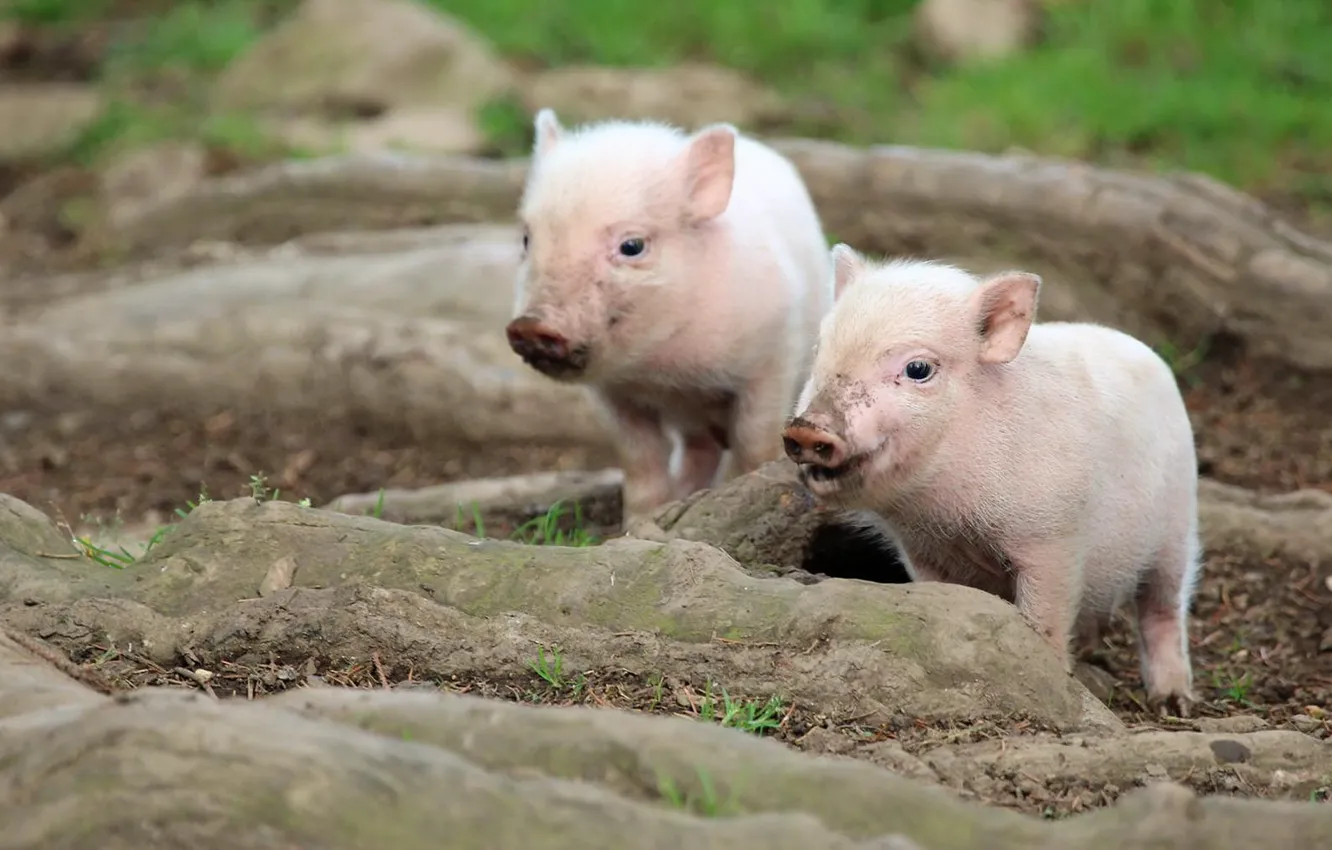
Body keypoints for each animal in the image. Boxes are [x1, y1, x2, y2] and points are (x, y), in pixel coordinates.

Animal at [505, 108, 832, 523]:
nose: (530, 326)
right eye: (527, 239)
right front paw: (639, 523)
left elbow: (753, 441)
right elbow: (640, 458)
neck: (666, 373)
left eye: (632, 246)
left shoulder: (772, 358)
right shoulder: (614, 393)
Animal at [781, 245, 1202, 716]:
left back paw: (1173, 703)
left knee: (1164, 607)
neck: (948, 513)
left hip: (1178, 526)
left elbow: (1046, 616)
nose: (806, 429)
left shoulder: (1053, 536)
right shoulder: (922, 547)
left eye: (918, 368)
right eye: (821, 349)